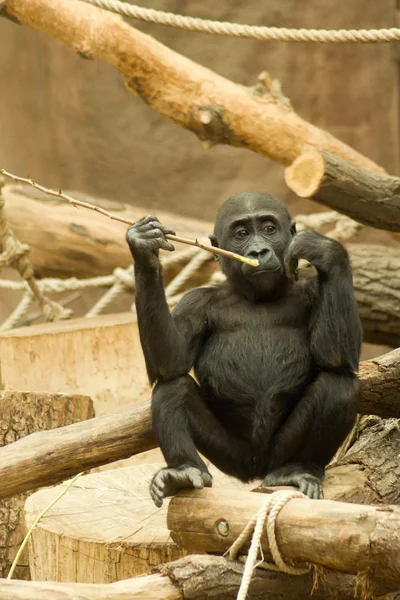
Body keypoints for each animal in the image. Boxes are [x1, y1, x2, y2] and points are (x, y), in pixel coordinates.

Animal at [126, 192, 362, 506]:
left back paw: (301, 467)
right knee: (172, 388)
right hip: (231, 457)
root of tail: (257, 469)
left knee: (338, 384)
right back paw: (183, 470)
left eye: (269, 229)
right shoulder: (195, 302)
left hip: (279, 452)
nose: (258, 251)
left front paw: (325, 250)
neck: (257, 296)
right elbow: (170, 362)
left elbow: (336, 357)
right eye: (241, 234)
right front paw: (145, 248)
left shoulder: (313, 290)